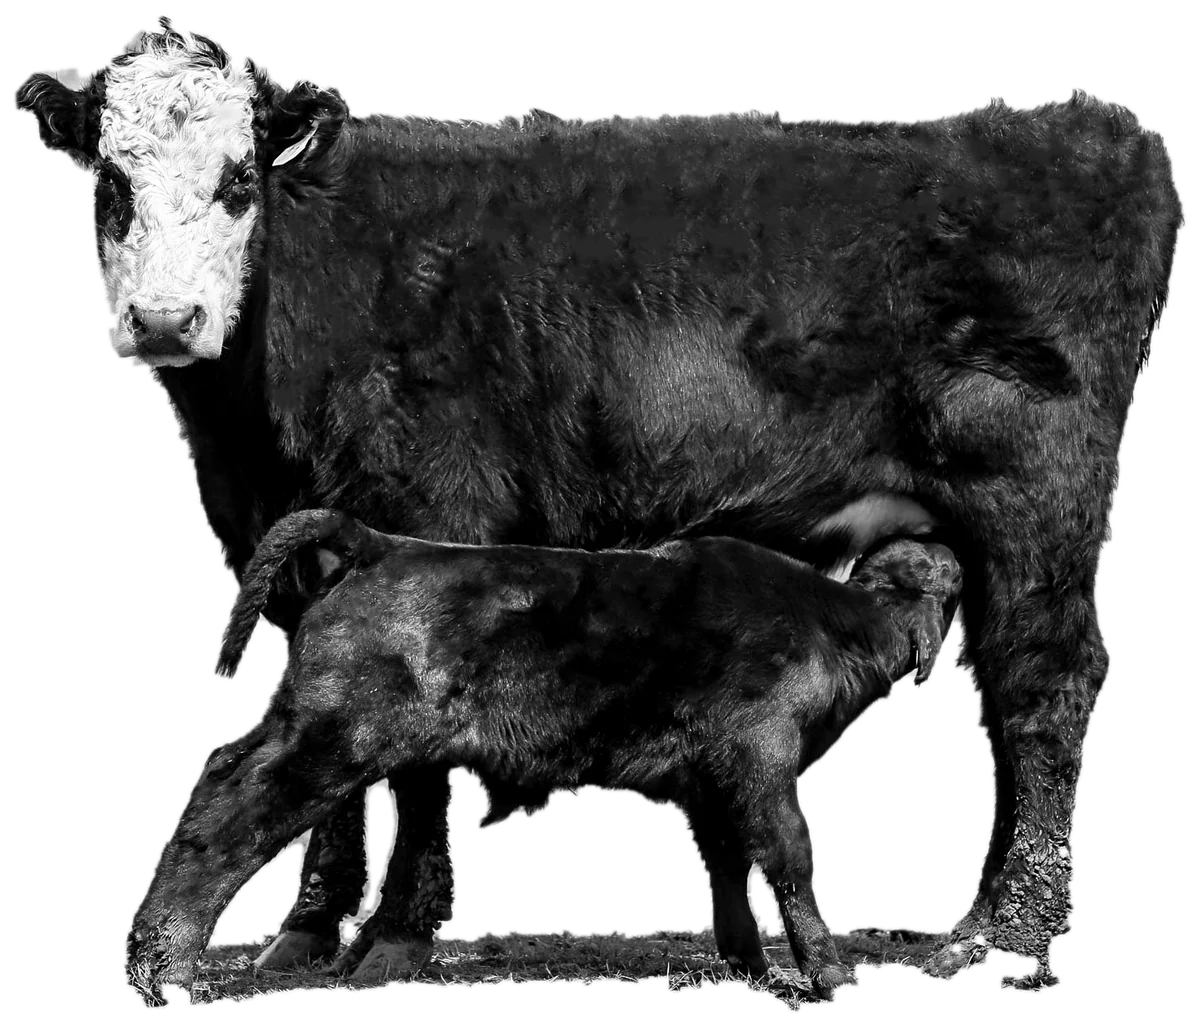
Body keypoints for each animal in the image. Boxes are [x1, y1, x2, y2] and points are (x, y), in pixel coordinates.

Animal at [125, 509, 963, 1002]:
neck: (833, 620)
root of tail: (381, 546)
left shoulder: (710, 782)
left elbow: (727, 862)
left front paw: (746, 963)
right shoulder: (760, 763)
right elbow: (788, 853)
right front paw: (825, 969)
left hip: (315, 730)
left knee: (220, 779)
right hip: (334, 740)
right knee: (229, 812)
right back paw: (164, 966)